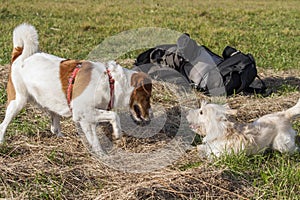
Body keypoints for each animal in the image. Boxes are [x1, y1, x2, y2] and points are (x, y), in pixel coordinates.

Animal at [0, 23, 152, 155]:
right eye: (147, 97)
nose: (150, 117)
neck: (111, 81)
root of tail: (19, 54)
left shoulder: (87, 117)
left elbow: (95, 136)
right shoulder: (82, 112)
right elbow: (114, 116)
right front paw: (115, 136)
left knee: (54, 127)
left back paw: (62, 138)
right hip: (17, 101)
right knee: (3, 125)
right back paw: (1, 142)